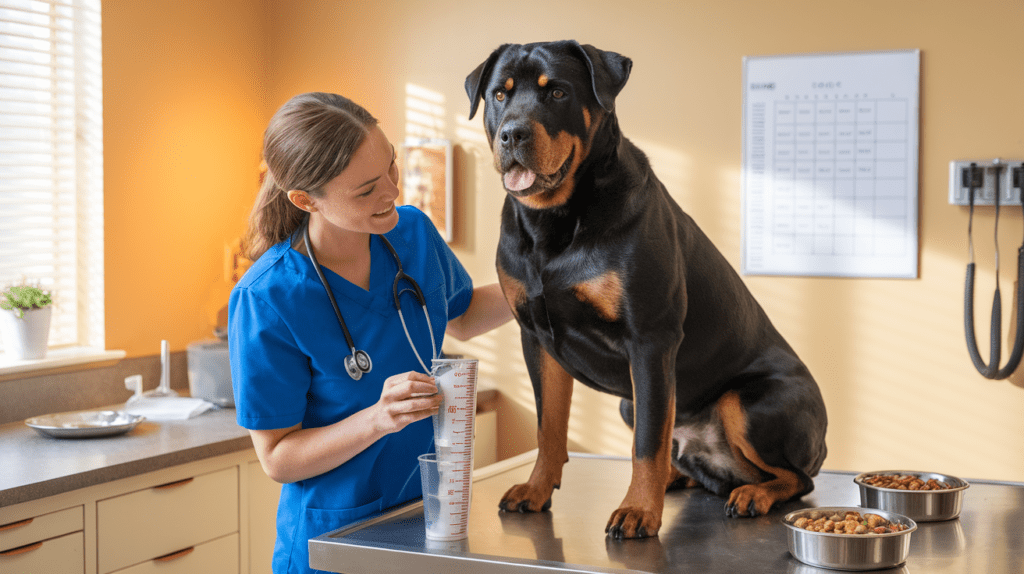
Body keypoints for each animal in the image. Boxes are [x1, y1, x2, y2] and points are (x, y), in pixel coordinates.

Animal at [468, 40, 827, 536]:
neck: (555, 221)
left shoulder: (650, 341)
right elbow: (549, 428)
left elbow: (646, 444)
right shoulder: (535, 339)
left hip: (746, 403)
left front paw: (638, 510)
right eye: (499, 95)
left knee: (797, 477)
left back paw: (753, 493)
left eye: (557, 92)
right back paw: (681, 478)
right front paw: (537, 489)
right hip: (629, 403)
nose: (512, 134)